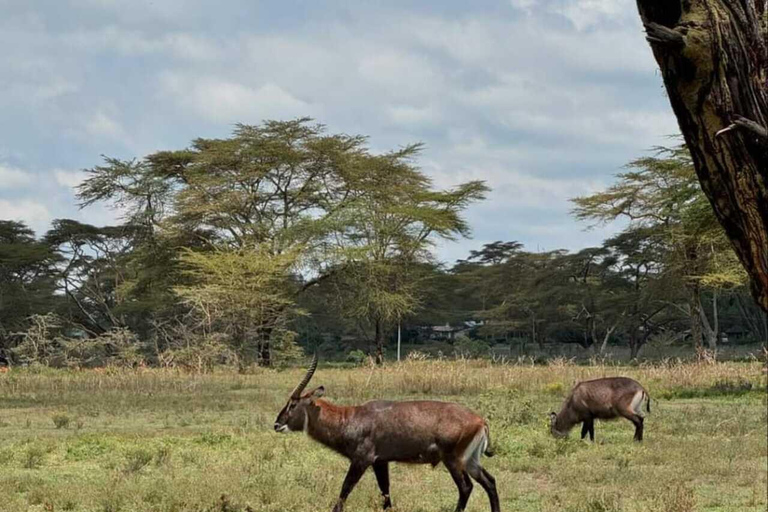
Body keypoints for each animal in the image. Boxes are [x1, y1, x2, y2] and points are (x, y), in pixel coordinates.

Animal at [272, 354, 500, 512]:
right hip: (470, 461)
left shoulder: (362, 460)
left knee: (466, 487)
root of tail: (480, 420)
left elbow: (345, 489)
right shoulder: (380, 462)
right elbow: (385, 493)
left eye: (293, 404)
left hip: (453, 460)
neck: (349, 417)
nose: (277, 424)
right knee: (489, 481)